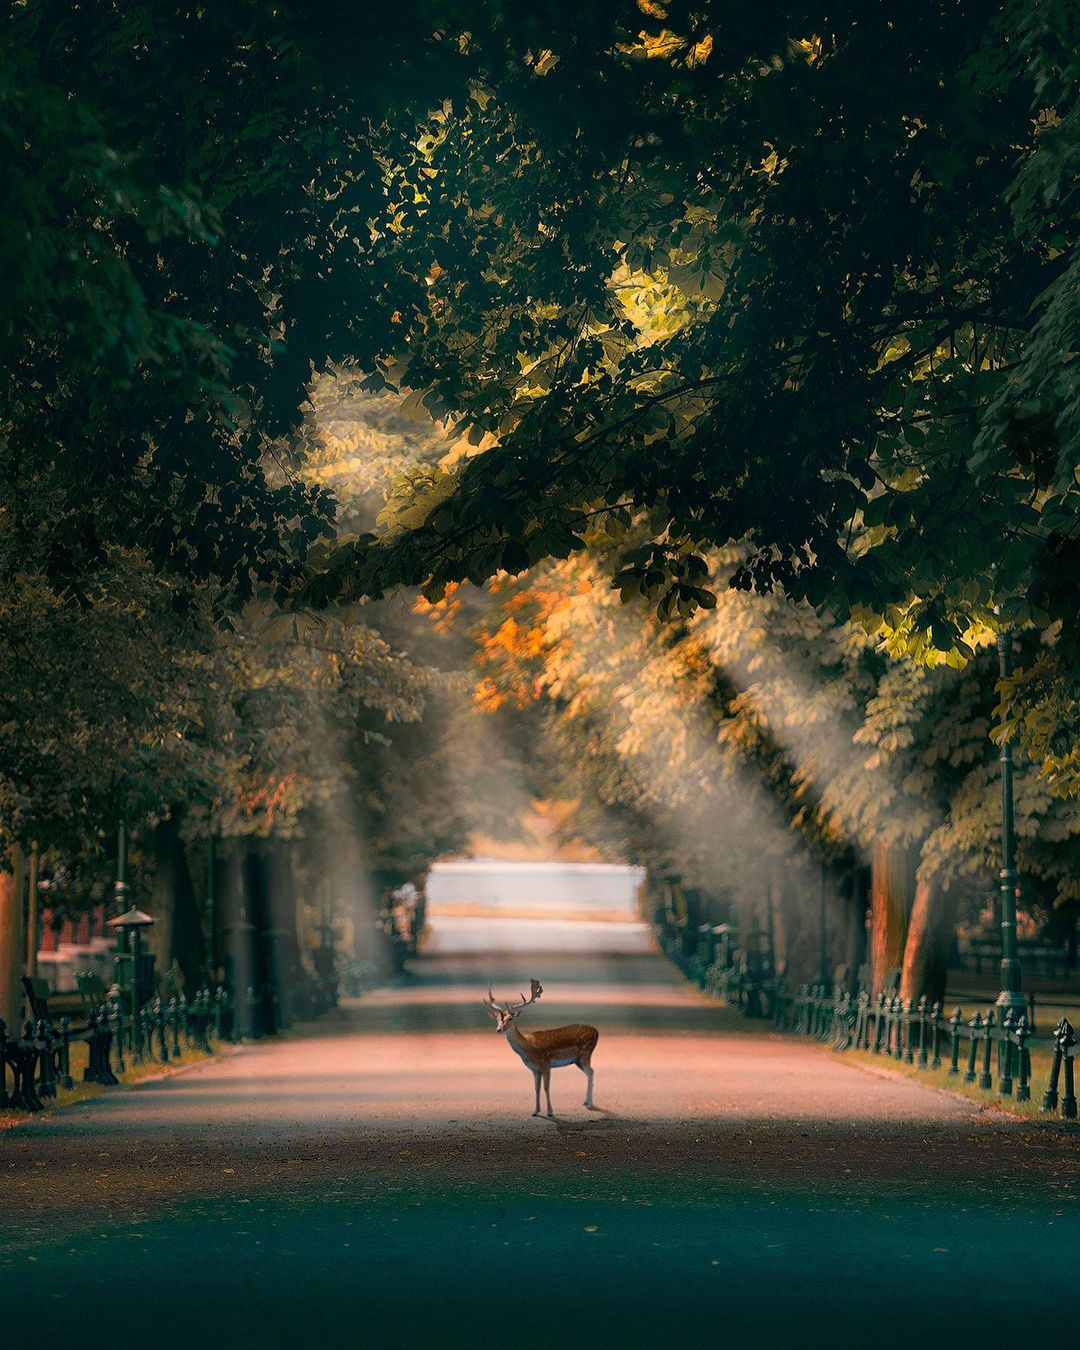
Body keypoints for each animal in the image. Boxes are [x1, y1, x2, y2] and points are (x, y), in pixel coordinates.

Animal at [483, 982, 599, 1117]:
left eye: (510, 1019)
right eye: (497, 1019)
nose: (499, 1029)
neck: (528, 1047)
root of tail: (597, 1032)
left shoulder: (546, 1064)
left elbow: (546, 1087)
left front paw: (550, 1112)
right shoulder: (535, 1069)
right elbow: (536, 1088)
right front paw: (535, 1111)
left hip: (585, 1053)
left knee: (591, 1072)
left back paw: (590, 1104)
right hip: (578, 1060)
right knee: (590, 1072)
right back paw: (585, 1102)